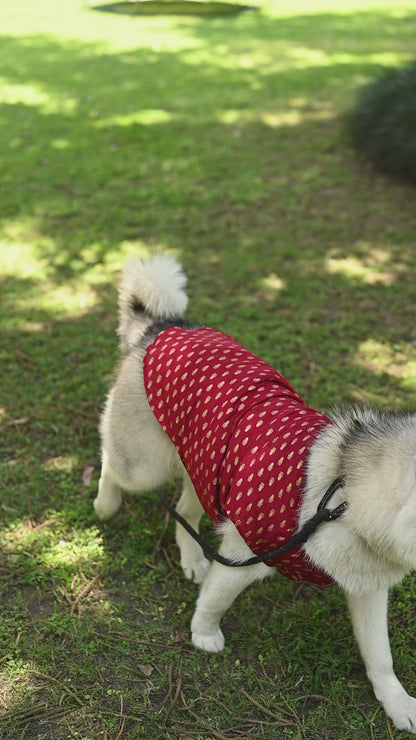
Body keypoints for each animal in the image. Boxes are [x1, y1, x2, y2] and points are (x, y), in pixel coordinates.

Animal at [94, 253, 416, 728]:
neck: (341, 499)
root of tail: (166, 324)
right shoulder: (243, 556)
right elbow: (214, 602)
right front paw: (203, 635)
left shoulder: (367, 590)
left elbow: (381, 657)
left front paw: (396, 702)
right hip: (144, 466)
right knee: (111, 461)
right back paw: (105, 503)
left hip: (205, 465)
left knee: (185, 509)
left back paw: (191, 558)